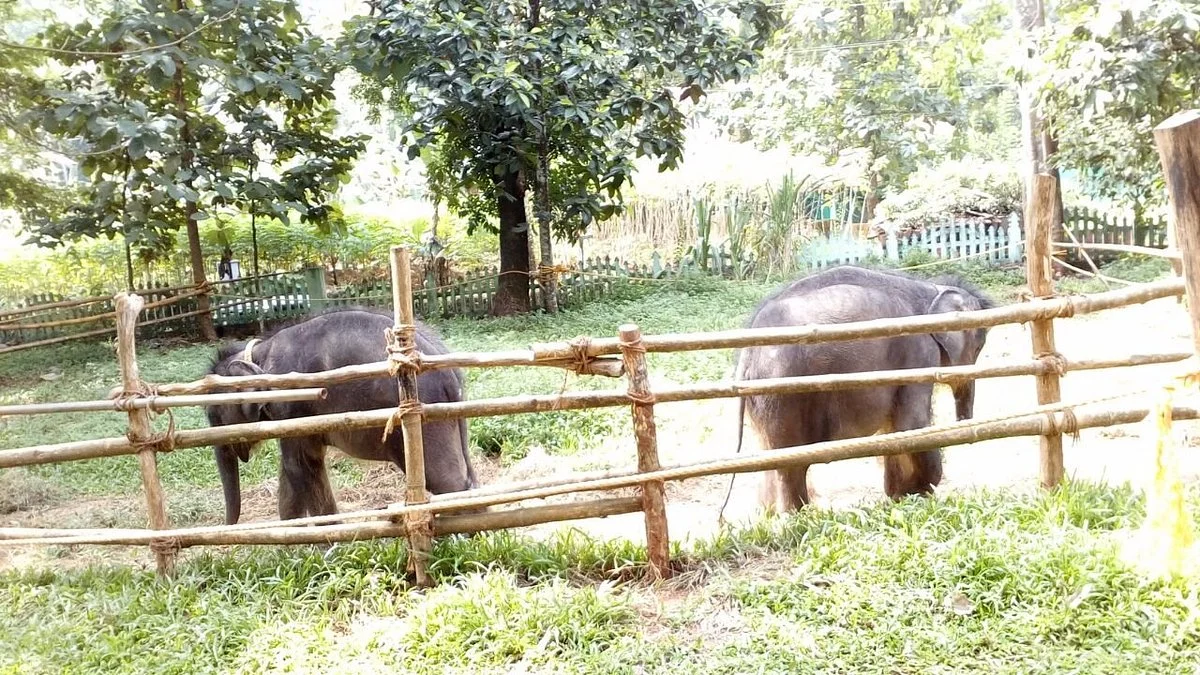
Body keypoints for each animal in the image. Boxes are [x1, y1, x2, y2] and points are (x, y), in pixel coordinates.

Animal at [204, 307, 478, 525]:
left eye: (214, 415)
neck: (258, 351)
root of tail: (449, 374)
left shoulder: (292, 406)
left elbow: (299, 467)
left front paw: (327, 548)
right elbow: (293, 473)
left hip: (425, 415)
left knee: (447, 481)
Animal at [731, 265, 995, 513]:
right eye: (978, 347)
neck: (932, 288)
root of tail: (748, 353)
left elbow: (894, 431)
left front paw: (900, 495)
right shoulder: (918, 350)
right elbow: (912, 423)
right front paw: (920, 492)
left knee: (770, 457)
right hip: (783, 389)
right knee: (791, 463)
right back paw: (798, 516)